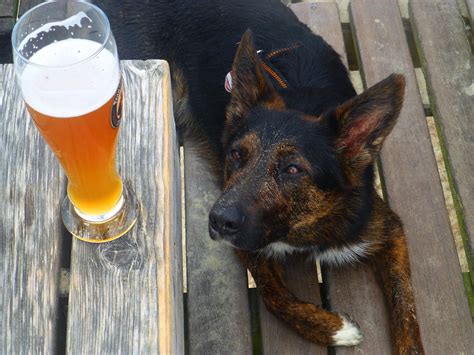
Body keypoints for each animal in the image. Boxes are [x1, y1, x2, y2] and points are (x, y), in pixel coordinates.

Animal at [105, 0, 424, 354]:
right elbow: (274, 296)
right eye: (235, 154)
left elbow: (406, 311)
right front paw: (333, 329)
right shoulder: (246, 241)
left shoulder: (386, 230)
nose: (218, 221)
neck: (300, 227)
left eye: (293, 169)